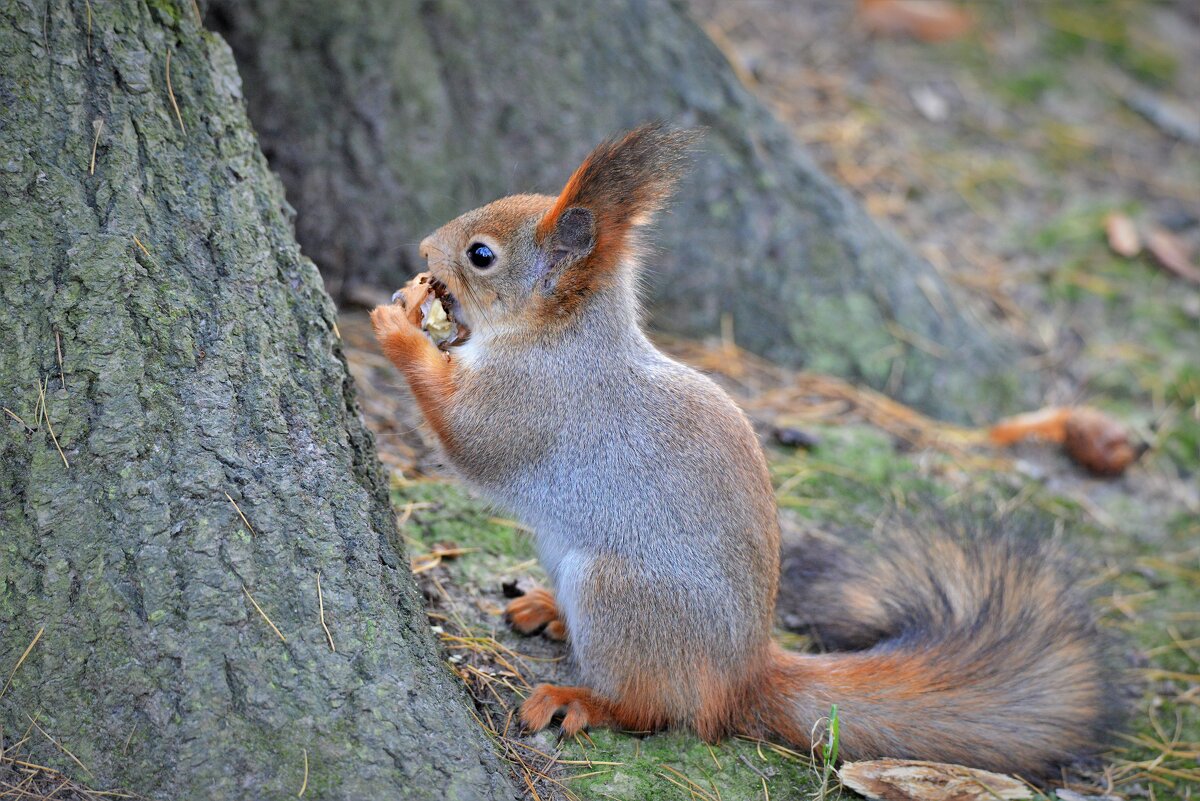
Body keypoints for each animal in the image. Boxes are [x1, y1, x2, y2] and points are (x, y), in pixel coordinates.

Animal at [369, 123, 1118, 777]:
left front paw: (398, 325)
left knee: (650, 708)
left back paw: (579, 698)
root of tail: (743, 675)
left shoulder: (537, 401)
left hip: (618, 596)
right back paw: (547, 610)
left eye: (481, 255)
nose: (423, 248)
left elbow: (473, 439)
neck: (564, 336)